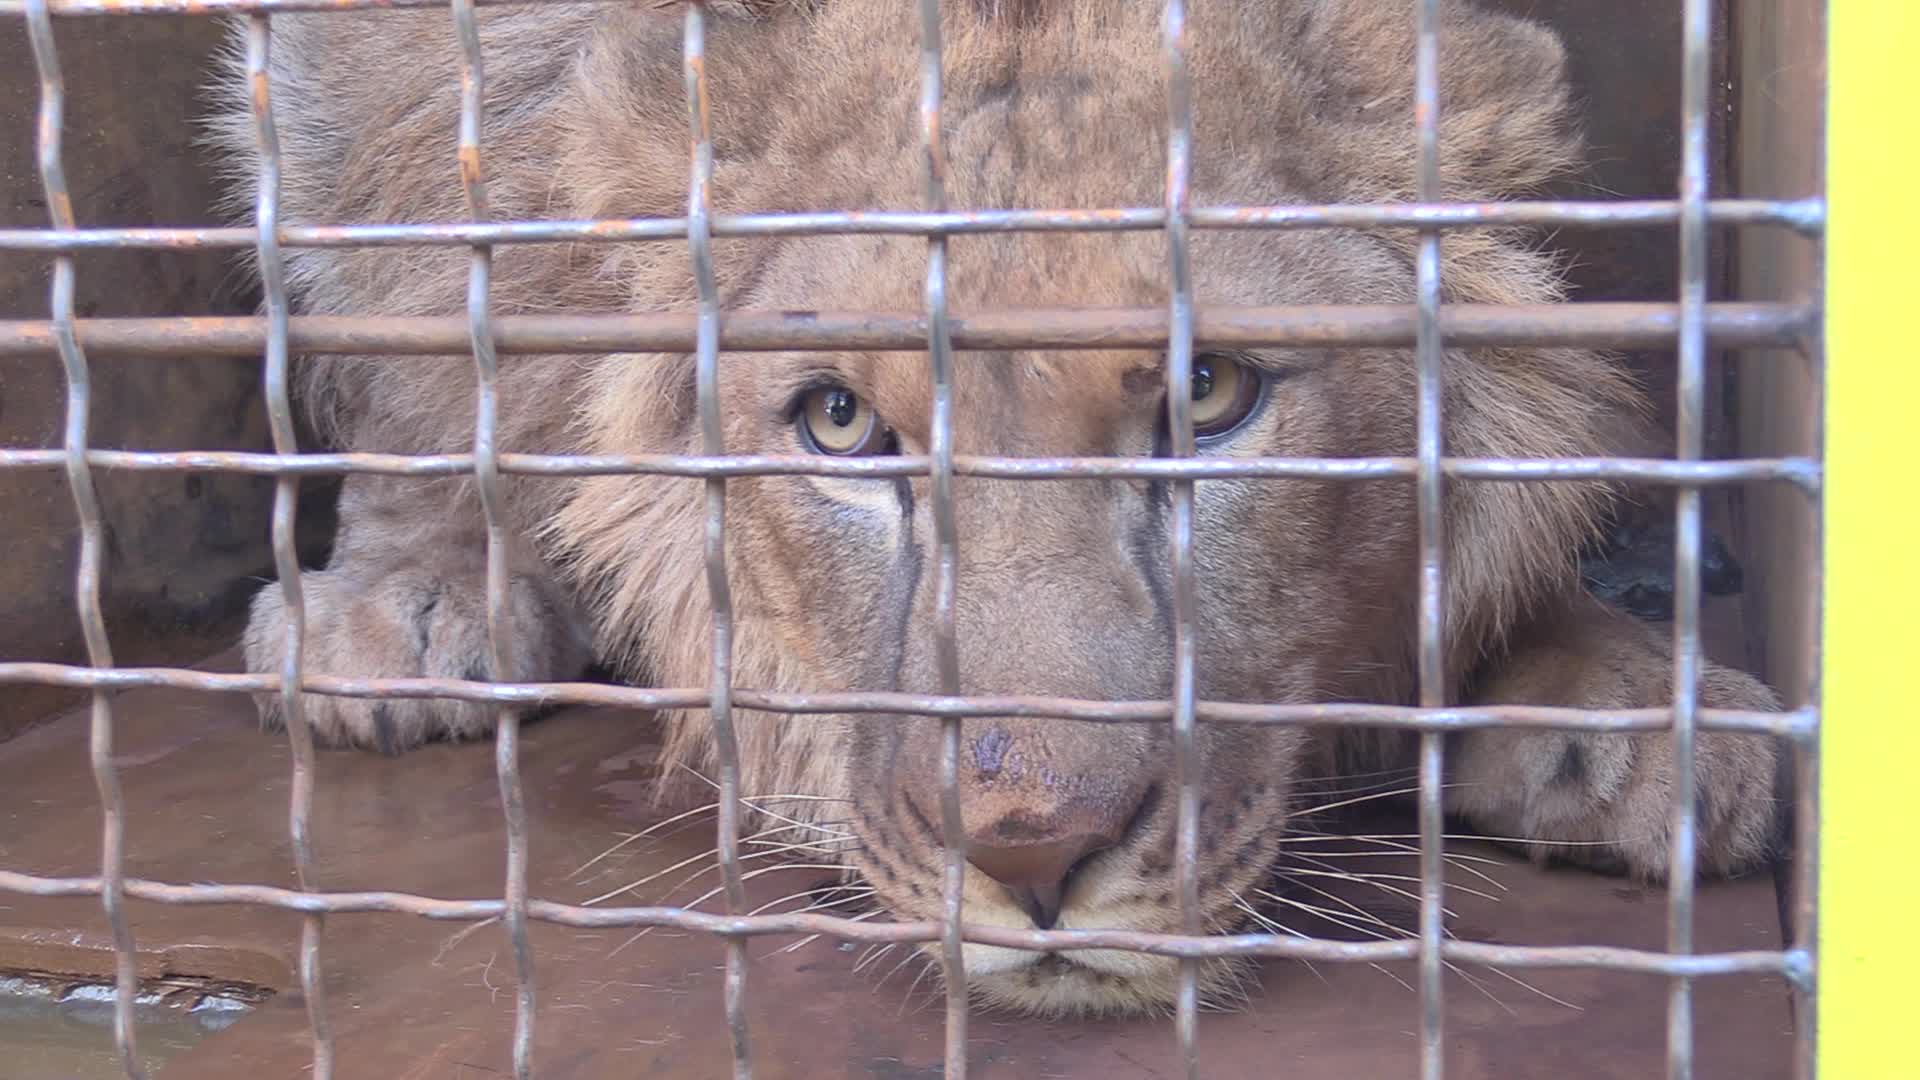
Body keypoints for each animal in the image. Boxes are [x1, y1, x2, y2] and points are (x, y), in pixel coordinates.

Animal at [209, 0, 1784, 1017]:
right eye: (841, 422)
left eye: (1208, 390)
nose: (1029, 853)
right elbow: (423, 273)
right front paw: (410, 588)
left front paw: (1626, 700)